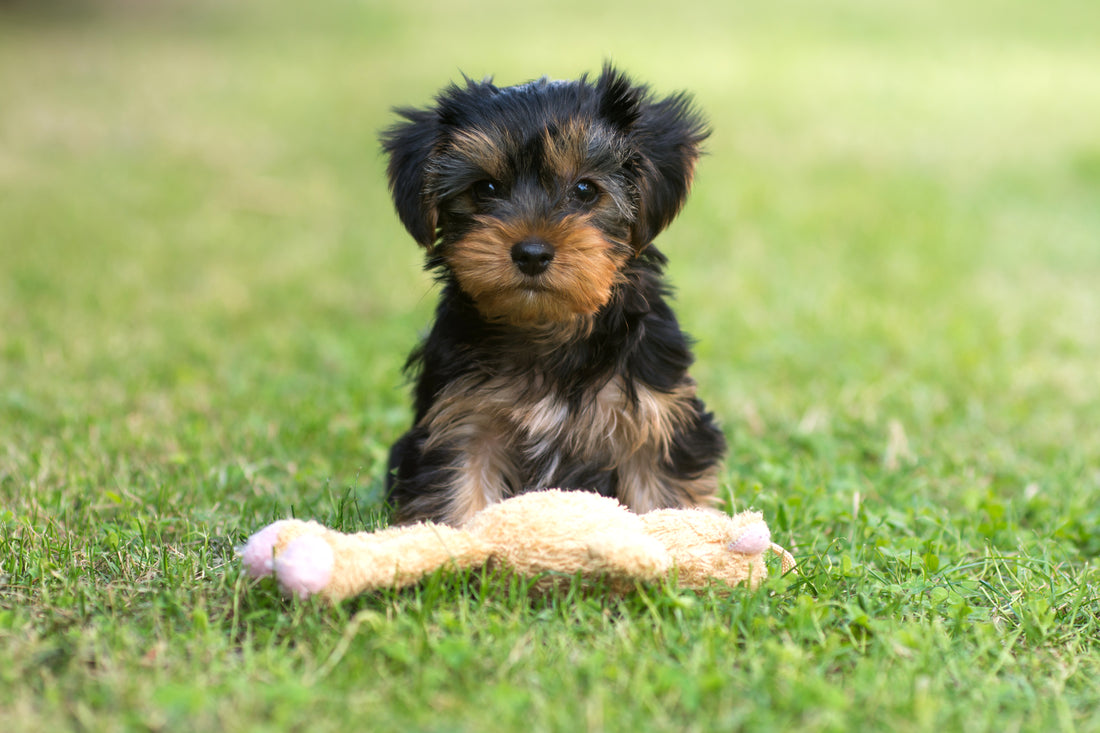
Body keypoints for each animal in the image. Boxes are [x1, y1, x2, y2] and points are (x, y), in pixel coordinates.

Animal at [382, 59, 726, 521]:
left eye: (585, 189)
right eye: (485, 188)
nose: (531, 253)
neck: (548, 327)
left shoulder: (655, 418)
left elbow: (660, 496)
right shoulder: (461, 419)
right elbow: (457, 494)